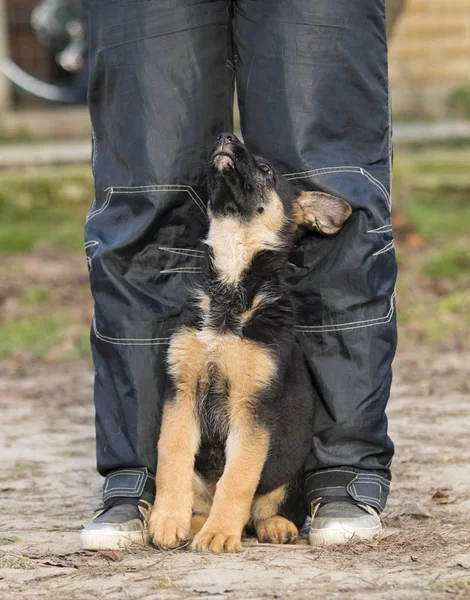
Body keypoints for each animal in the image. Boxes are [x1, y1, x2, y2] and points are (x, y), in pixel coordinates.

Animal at [149, 132, 350, 552]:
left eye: (267, 169)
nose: (225, 136)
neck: (231, 288)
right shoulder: (181, 393)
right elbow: (171, 457)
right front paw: (167, 519)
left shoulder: (252, 407)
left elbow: (238, 477)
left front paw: (220, 533)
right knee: (204, 501)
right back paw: (193, 523)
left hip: (291, 469)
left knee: (266, 510)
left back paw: (270, 525)